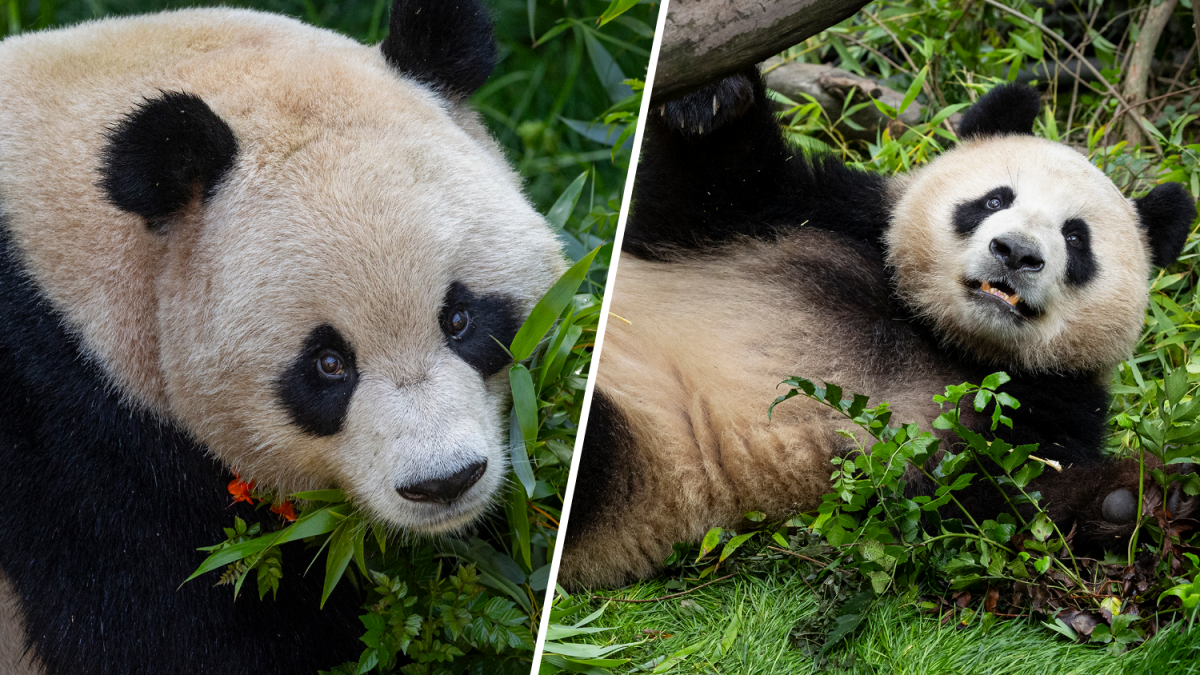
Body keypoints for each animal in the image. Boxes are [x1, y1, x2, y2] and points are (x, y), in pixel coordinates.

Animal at [561, 65, 1200, 586]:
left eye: (1075, 237)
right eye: (995, 200)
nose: (1016, 253)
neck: (937, 332)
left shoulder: (1045, 399)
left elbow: (989, 499)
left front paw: (1138, 496)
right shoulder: (814, 217)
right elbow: (688, 198)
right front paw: (710, 98)